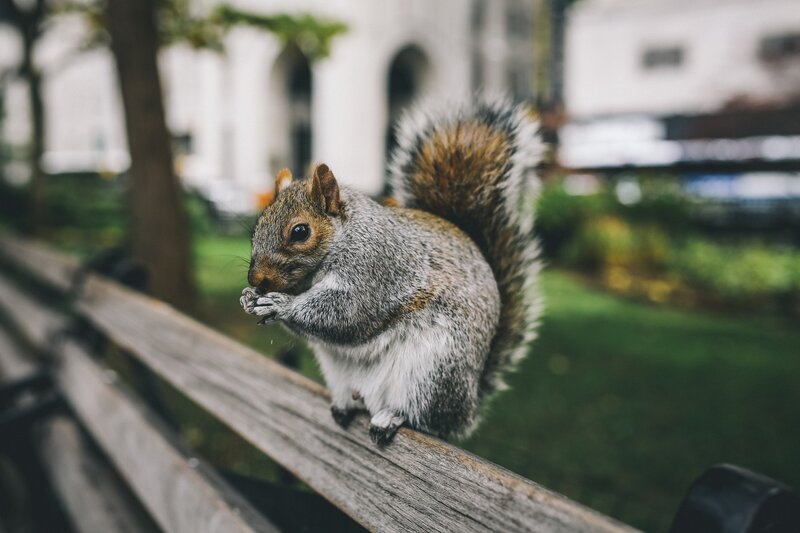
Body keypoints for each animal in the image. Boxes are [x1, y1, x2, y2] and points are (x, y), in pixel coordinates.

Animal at [240, 98, 543, 445]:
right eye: (257, 226)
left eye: (300, 232)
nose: (256, 279)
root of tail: (468, 406)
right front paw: (249, 298)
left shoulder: (376, 269)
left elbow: (348, 313)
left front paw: (281, 304)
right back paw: (345, 406)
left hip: (432, 372)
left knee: (425, 417)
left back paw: (391, 417)